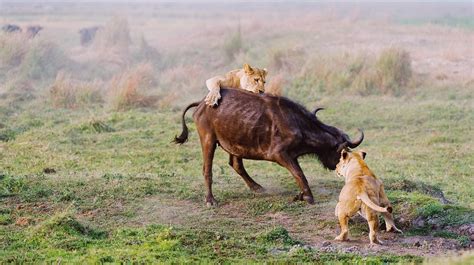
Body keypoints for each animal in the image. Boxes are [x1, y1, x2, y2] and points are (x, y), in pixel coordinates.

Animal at [174, 87, 362, 205]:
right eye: (342, 152)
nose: (335, 166)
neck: (297, 124)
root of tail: (201, 104)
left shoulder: (292, 156)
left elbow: (298, 173)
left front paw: (301, 194)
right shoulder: (279, 154)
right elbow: (299, 173)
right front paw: (308, 197)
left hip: (234, 141)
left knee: (235, 164)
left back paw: (257, 187)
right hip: (208, 139)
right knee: (207, 169)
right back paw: (210, 200)